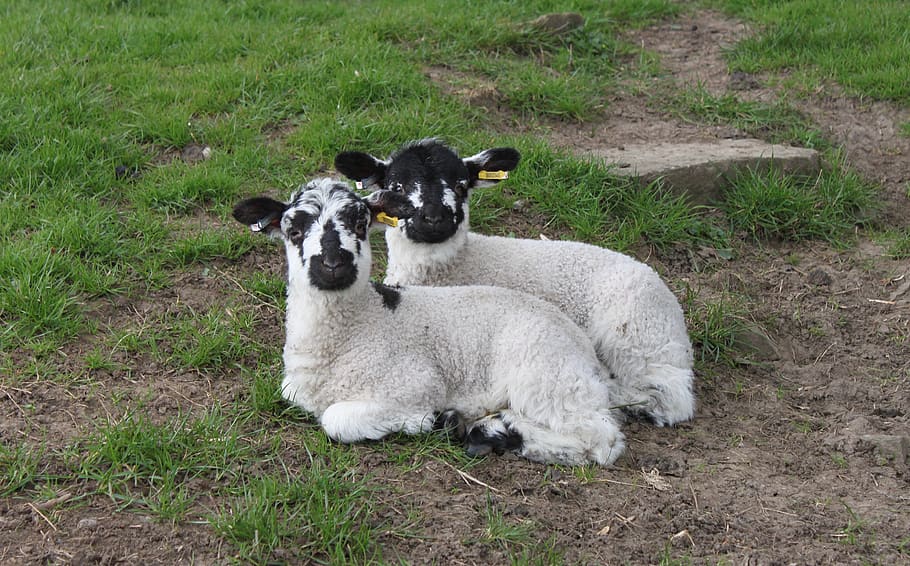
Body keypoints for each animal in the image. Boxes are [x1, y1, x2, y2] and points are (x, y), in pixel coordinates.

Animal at [232, 178, 625, 466]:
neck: (361, 327)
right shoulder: (293, 389)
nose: (333, 263)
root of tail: (586, 350)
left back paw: (501, 432)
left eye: (360, 223)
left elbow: (335, 420)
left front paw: (427, 420)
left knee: (601, 439)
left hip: (547, 375)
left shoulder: (415, 383)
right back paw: (489, 430)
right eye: (293, 231)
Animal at [334, 139, 696, 426]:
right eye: (396, 187)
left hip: (637, 335)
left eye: (462, 185)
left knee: (668, 397)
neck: (455, 265)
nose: (435, 219)